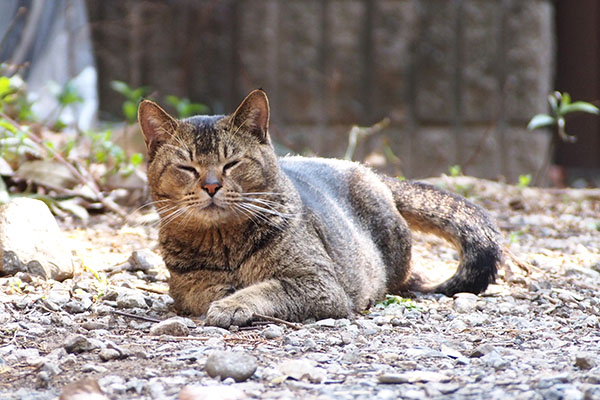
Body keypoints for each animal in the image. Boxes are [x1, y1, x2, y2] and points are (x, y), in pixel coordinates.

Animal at [137, 90, 502, 328]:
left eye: (232, 163)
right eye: (186, 167)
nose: (211, 186)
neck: (224, 245)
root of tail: (365, 169)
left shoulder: (318, 284)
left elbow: (267, 287)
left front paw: (234, 303)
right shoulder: (184, 287)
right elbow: (203, 289)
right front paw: (224, 294)